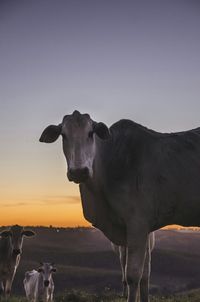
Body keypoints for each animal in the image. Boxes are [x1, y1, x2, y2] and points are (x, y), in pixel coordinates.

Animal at [39, 109, 200, 300]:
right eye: (63, 135)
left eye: (90, 133)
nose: (79, 171)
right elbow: (144, 275)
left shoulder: (138, 224)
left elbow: (133, 275)